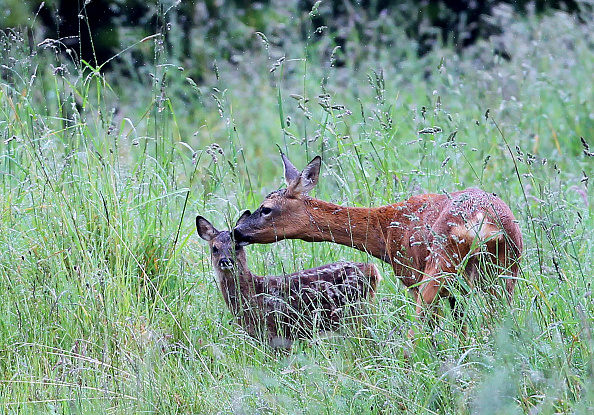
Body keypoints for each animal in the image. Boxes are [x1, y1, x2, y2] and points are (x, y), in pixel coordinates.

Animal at [195, 213, 380, 350]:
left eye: (237, 246)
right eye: (214, 248)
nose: (226, 261)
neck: (252, 292)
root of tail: (373, 270)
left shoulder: (277, 332)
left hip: (355, 312)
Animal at [234, 153, 520, 338]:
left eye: (266, 208)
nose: (237, 231)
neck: (385, 230)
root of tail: (480, 220)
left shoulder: (410, 274)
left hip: (439, 267)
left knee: (417, 332)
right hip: (505, 269)